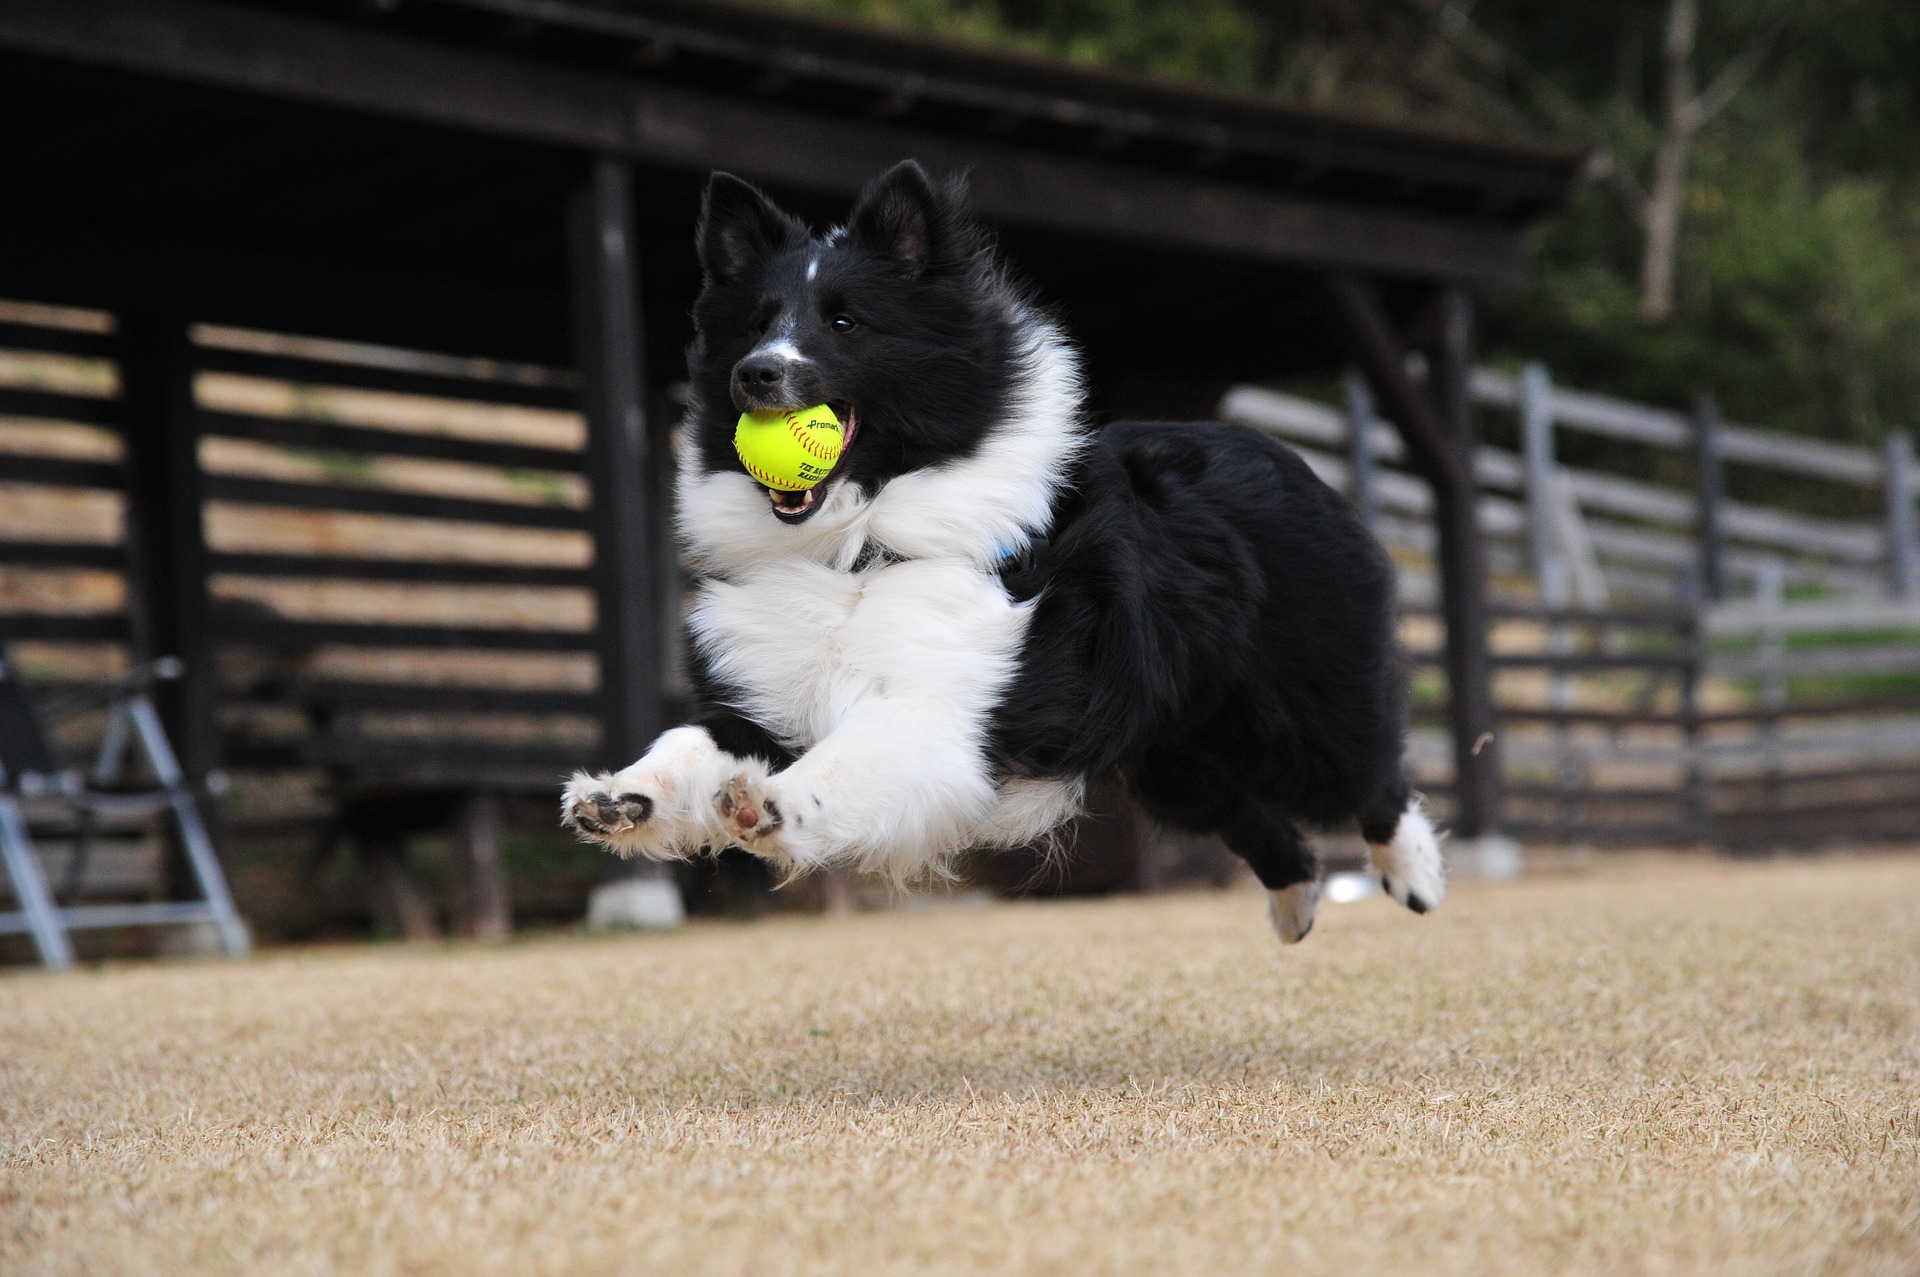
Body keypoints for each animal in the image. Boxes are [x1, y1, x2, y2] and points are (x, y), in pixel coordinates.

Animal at [560, 159, 1443, 940]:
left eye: (845, 322)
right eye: (753, 323)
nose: (755, 374)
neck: (857, 550)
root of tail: (1287, 453)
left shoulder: (942, 709)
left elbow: (846, 761)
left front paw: (768, 805)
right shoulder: (765, 696)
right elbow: (688, 742)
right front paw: (620, 797)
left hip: (1292, 710)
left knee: (1370, 774)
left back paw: (1417, 877)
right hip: (1174, 754)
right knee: (1260, 820)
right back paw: (1296, 906)